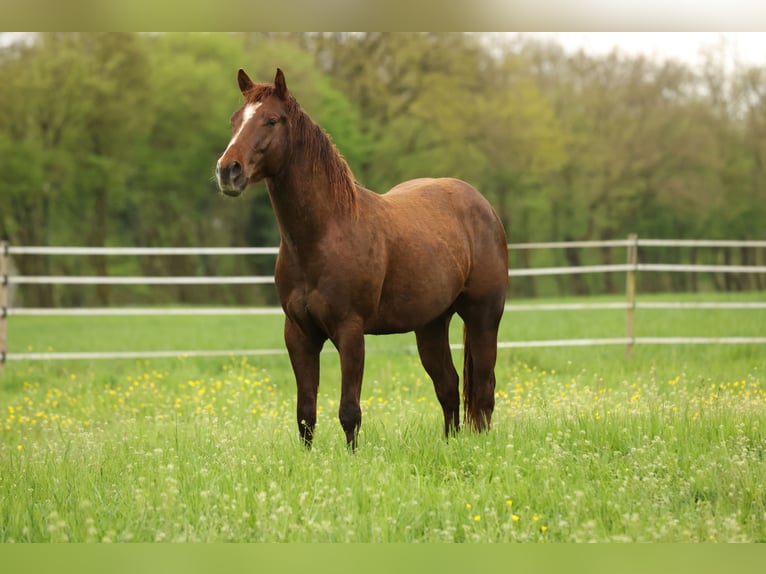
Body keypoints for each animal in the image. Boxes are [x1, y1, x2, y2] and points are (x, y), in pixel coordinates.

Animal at [216, 68, 508, 449]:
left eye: (272, 120)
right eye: (235, 120)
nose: (228, 171)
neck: (325, 233)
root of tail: (482, 205)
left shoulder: (350, 331)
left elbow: (349, 411)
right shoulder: (298, 334)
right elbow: (305, 413)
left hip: (483, 316)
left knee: (483, 390)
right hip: (431, 325)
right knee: (448, 386)